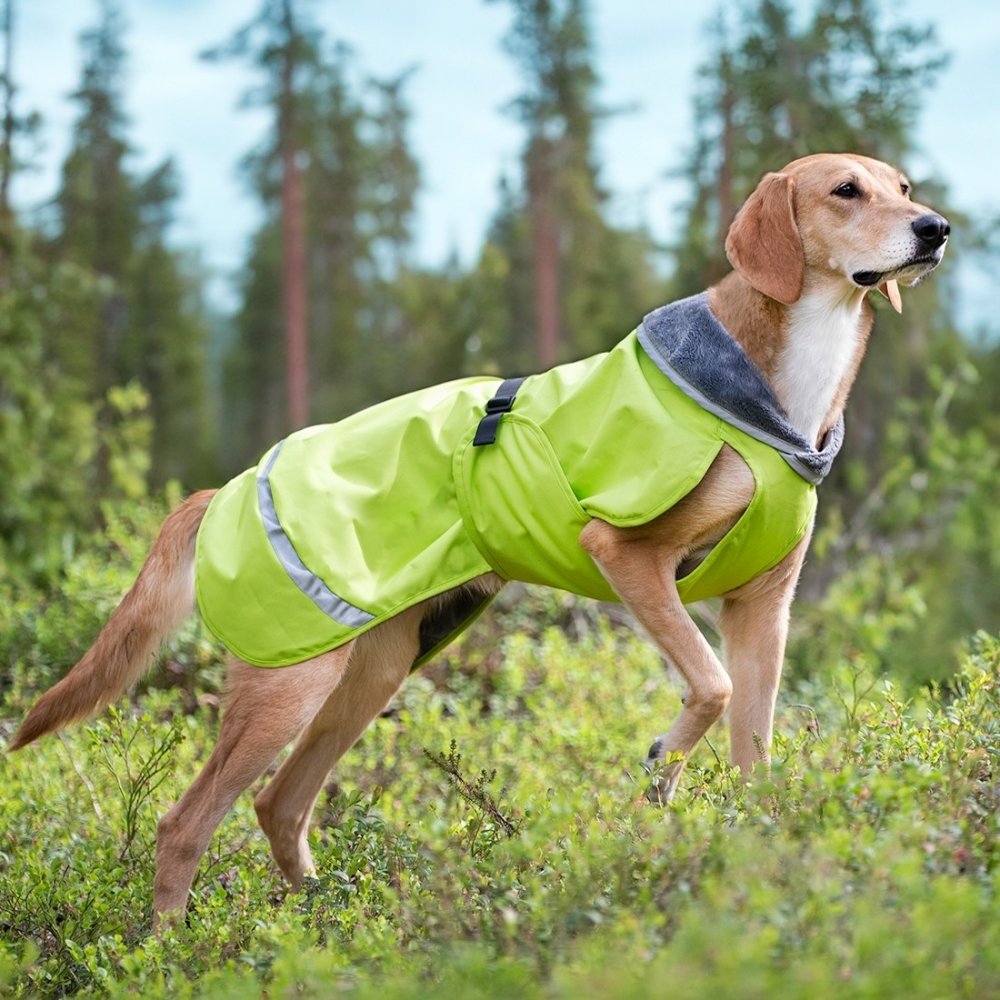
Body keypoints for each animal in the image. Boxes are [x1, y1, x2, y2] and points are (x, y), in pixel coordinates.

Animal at [9, 152, 952, 924]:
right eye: (846, 190)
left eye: (904, 185)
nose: (936, 227)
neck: (780, 395)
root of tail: (227, 487)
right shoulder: (631, 559)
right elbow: (711, 689)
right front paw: (662, 765)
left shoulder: (763, 609)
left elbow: (754, 748)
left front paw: (759, 861)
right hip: (288, 682)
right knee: (183, 823)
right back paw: (174, 950)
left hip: (374, 667)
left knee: (280, 806)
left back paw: (326, 926)